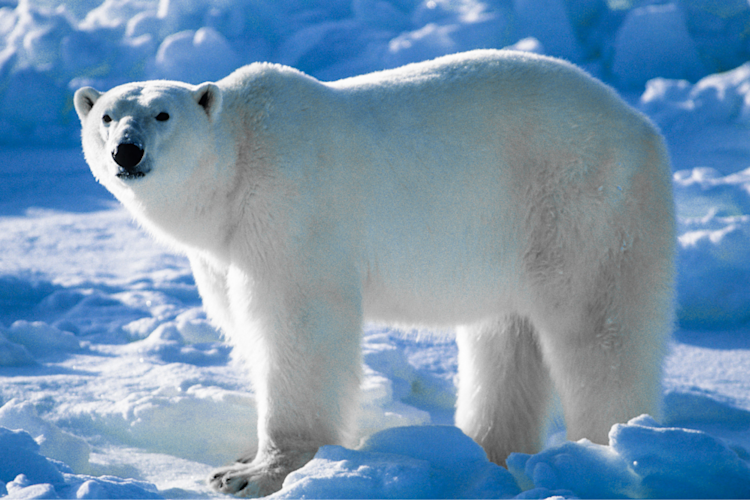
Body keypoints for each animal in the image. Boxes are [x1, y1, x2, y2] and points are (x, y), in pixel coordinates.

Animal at [74, 49, 675, 497]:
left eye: (163, 114)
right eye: (106, 116)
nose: (127, 152)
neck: (238, 165)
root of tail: (641, 124)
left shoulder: (291, 211)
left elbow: (298, 328)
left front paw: (253, 473)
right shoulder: (224, 252)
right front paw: (244, 457)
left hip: (582, 204)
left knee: (599, 333)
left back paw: (608, 451)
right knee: (506, 341)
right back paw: (485, 453)